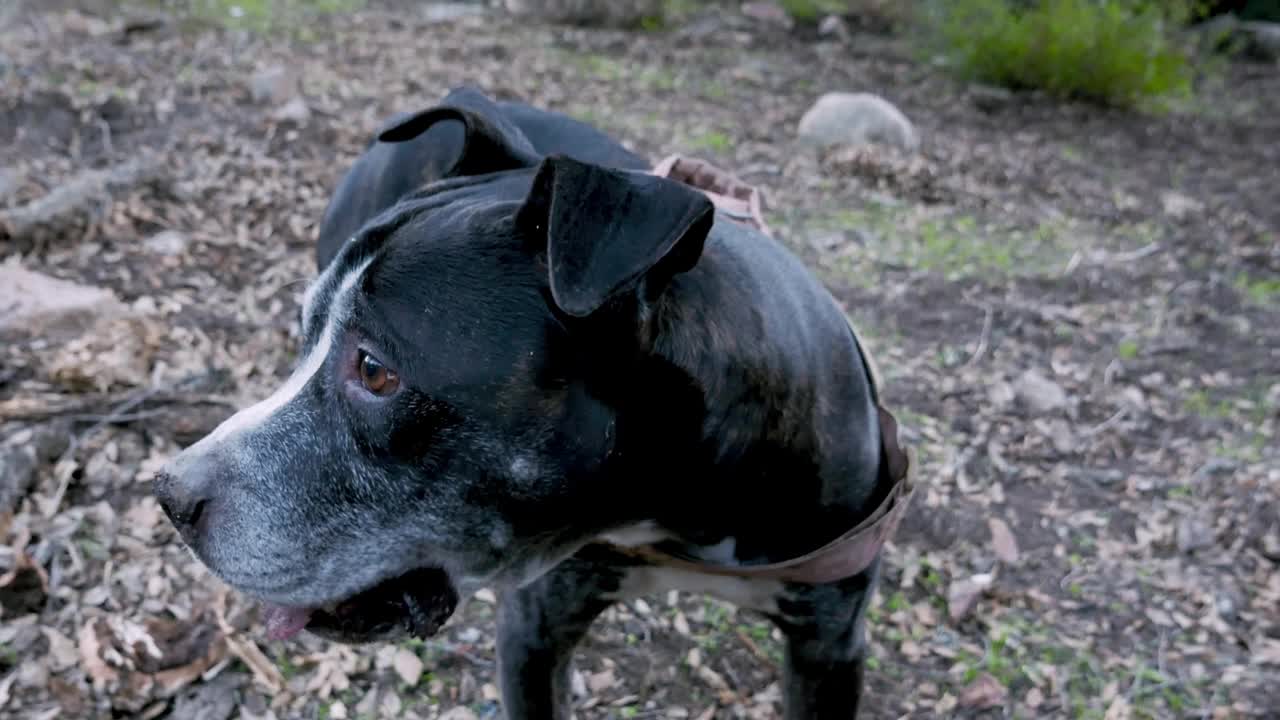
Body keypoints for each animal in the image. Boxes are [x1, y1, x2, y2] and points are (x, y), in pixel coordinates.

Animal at [157, 87, 911, 712]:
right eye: (307, 333)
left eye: (374, 371)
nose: (169, 494)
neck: (675, 517)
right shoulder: (535, 630)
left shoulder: (829, 647)